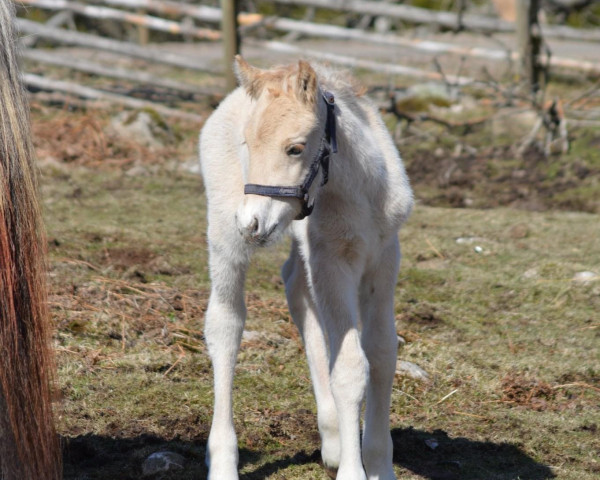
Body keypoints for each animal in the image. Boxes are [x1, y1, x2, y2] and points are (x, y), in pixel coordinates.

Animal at [200, 57, 412, 480]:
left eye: (295, 148)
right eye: (247, 144)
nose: (252, 223)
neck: (359, 193)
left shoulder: (384, 257)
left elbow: (382, 353)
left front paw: (379, 464)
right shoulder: (332, 261)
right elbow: (349, 367)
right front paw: (353, 472)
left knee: (297, 290)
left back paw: (331, 440)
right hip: (225, 233)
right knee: (226, 324)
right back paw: (224, 462)